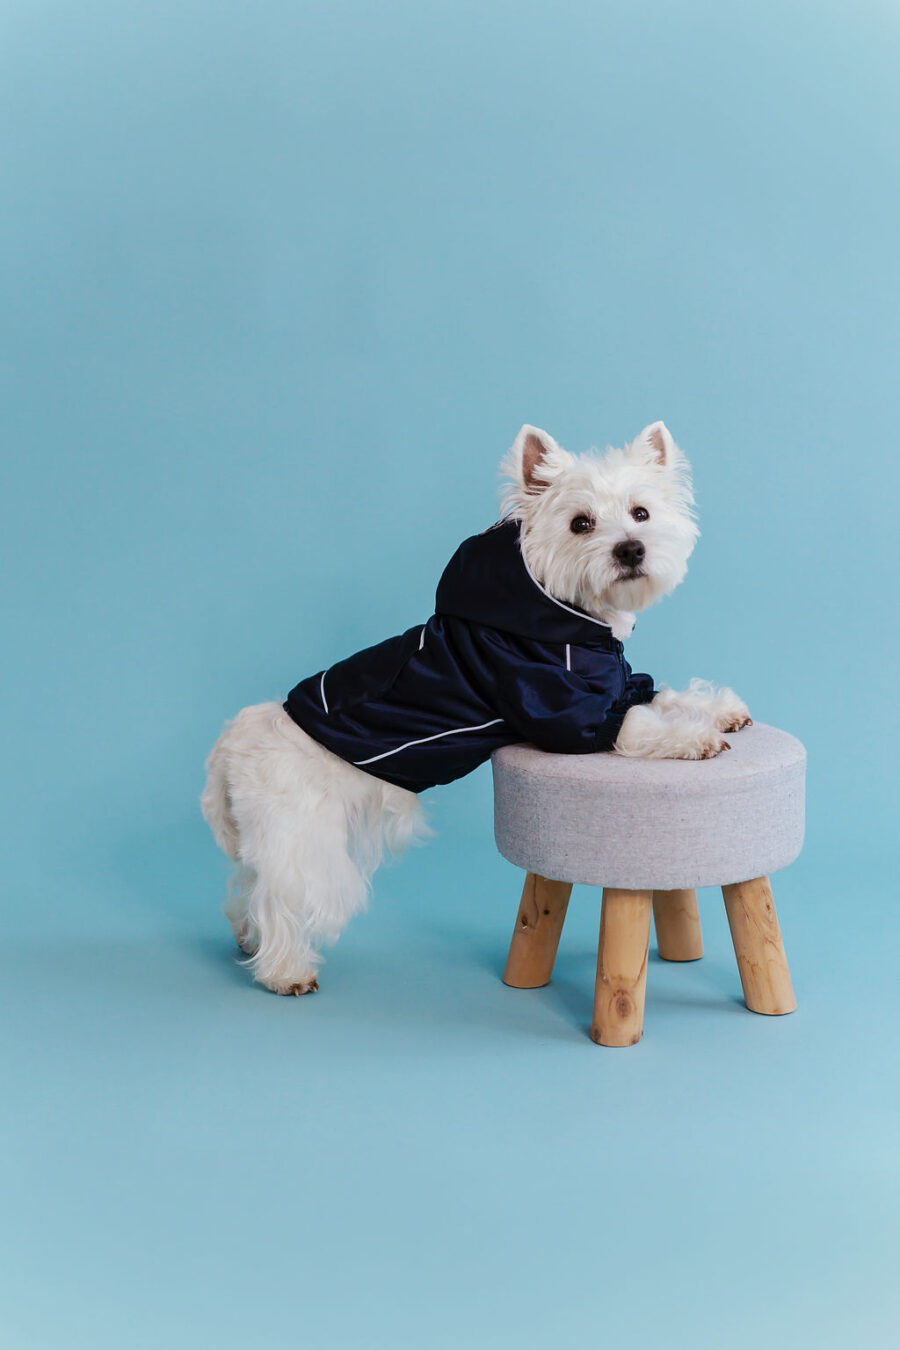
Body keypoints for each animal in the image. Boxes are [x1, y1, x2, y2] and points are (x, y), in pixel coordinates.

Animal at [203, 426, 755, 999]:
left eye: (641, 513)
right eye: (580, 523)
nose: (631, 549)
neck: (569, 620)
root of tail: (228, 745)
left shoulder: (620, 687)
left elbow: (662, 694)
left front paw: (722, 711)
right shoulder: (570, 717)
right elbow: (645, 725)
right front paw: (696, 739)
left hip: (267, 837)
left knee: (247, 885)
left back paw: (246, 937)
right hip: (301, 838)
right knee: (281, 898)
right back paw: (286, 970)